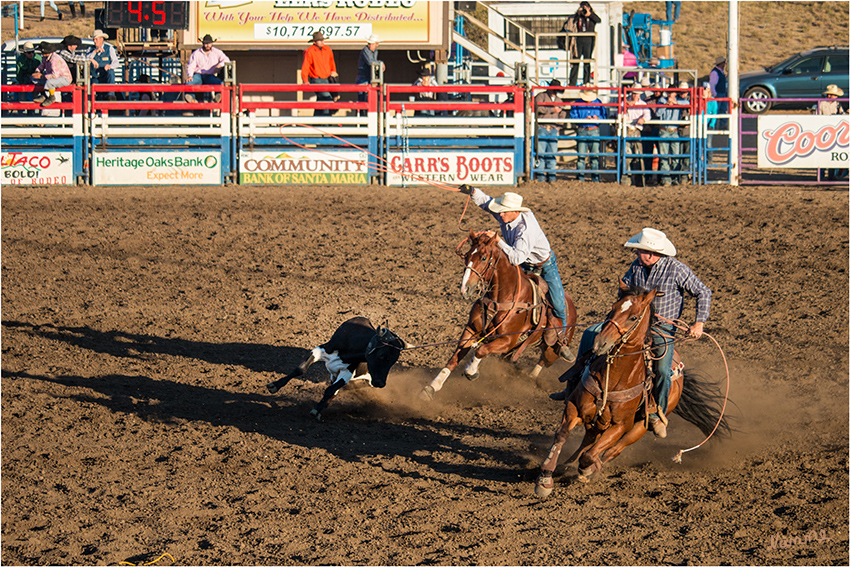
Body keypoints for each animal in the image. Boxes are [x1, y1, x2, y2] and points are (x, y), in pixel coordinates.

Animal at [266, 318, 410, 420]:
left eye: (394, 360)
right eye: (382, 355)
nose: (381, 383)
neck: (349, 349)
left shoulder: (348, 372)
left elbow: (331, 389)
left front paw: (316, 409)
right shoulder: (322, 349)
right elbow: (300, 369)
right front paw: (274, 386)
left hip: (368, 380)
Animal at [418, 229, 576, 402]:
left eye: (483, 257)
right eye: (467, 255)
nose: (465, 289)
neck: (501, 298)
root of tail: (571, 303)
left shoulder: (507, 340)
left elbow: (481, 350)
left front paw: (471, 370)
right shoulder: (471, 330)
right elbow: (453, 359)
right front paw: (431, 387)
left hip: (550, 349)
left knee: (543, 360)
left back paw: (534, 375)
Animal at [532, 284, 724, 496]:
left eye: (633, 317)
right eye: (612, 308)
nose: (600, 343)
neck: (616, 377)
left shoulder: (621, 425)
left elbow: (591, 454)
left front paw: (586, 469)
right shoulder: (575, 407)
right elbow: (562, 435)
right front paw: (545, 478)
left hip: (639, 427)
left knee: (613, 450)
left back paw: (590, 468)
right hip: (599, 422)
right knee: (589, 440)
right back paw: (566, 465)